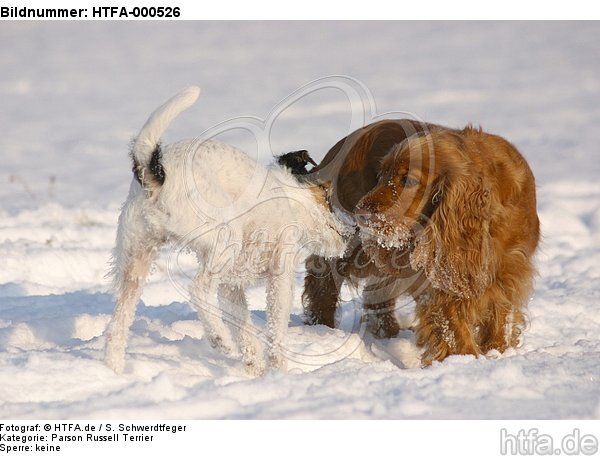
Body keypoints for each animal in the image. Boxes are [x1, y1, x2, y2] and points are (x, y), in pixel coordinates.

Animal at [102, 85, 346, 374]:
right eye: (327, 194)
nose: (347, 229)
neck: (285, 195)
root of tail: (156, 173)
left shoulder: (231, 288)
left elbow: (244, 328)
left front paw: (254, 368)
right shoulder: (281, 275)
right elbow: (276, 326)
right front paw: (279, 369)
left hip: (136, 258)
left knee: (118, 325)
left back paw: (113, 371)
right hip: (224, 240)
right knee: (198, 289)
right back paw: (219, 338)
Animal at [302, 119, 540, 366]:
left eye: (408, 180)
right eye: (380, 174)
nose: (360, 212)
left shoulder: (509, 271)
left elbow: (499, 316)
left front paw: (496, 351)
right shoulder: (441, 283)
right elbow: (454, 328)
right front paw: (464, 360)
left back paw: (389, 333)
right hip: (356, 248)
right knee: (322, 276)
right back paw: (322, 326)